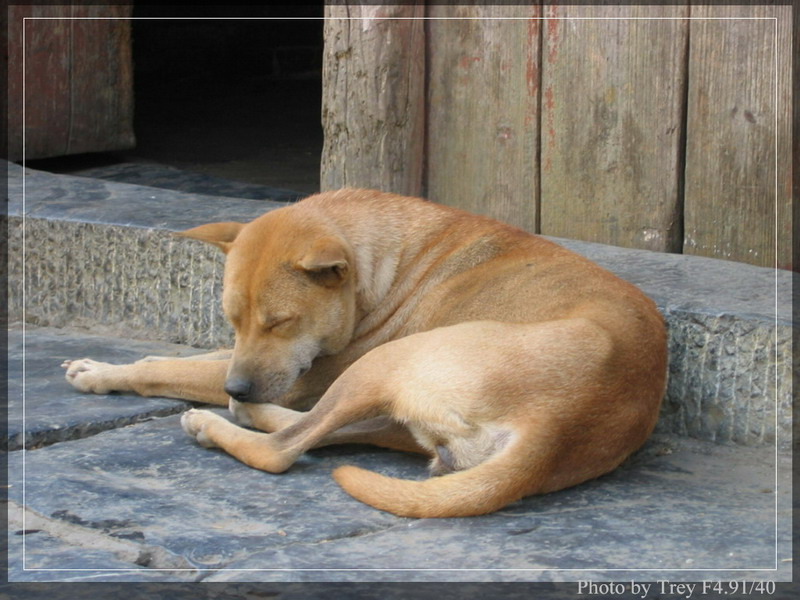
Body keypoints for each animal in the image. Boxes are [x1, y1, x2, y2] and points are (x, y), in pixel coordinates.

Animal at [62, 188, 667, 518]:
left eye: (280, 322)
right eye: (232, 319)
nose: (238, 386)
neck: (383, 262)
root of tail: (558, 430)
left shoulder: (300, 373)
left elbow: (171, 370)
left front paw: (113, 374)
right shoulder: (247, 360)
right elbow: (187, 361)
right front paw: (98, 368)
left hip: (384, 363)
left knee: (283, 449)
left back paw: (222, 420)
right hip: (399, 413)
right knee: (321, 430)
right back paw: (246, 412)